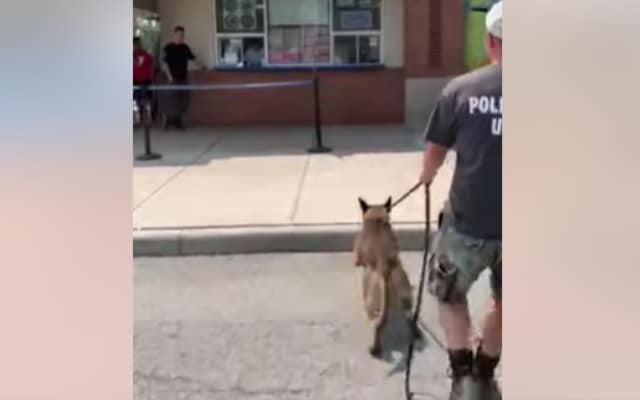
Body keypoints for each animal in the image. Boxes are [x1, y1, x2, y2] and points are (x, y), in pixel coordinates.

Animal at [352, 197, 422, 356]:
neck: (377, 216)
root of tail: (385, 269)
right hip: (405, 292)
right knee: (409, 315)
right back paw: (415, 332)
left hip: (369, 294)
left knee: (377, 324)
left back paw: (375, 348)